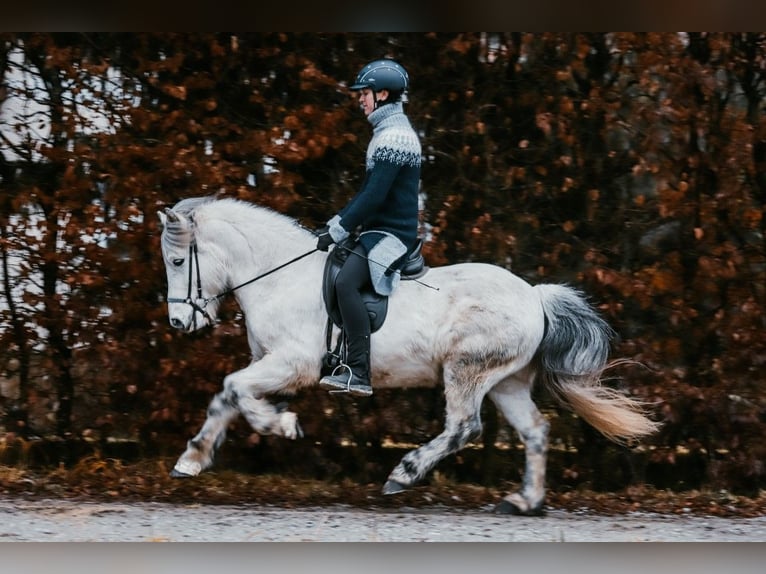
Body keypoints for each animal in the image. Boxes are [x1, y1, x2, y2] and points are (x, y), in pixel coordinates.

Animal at [158, 195, 659, 516]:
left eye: (178, 262)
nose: (179, 323)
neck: (278, 277)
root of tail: (534, 297)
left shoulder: (292, 364)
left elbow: (236, 390)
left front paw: (280, 424)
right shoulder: (269, 364)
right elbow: (227, 397)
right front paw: (192, 458)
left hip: (466, 371)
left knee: (464, 427)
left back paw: (404, 473)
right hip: (506, 382)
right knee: (534, 430)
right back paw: (526, 502)